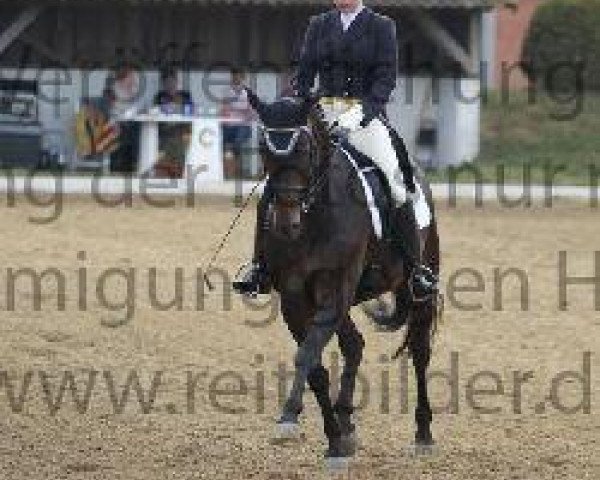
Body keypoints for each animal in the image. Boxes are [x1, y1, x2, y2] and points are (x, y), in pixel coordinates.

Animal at [244, 92, 440, 464]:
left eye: (305, 148)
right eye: (263, 148)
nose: (285, 224)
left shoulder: (334, 292)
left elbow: (307, 355)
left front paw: (289, 418)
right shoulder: (295, 298)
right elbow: (315, 365)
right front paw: (334, 441)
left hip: (419, 287)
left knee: (420, 351)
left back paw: (423, 435)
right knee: (354, 345)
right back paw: (347, 424)